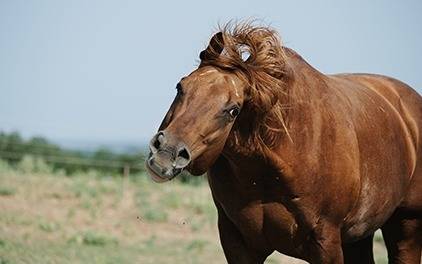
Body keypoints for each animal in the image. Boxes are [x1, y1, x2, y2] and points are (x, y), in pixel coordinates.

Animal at [146, 23, 422, 264]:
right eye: (180, 86)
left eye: (233, 110)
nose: (166, 154)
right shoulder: (237, 243)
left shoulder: (327, 244)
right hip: (358, 235)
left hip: (406, 226)